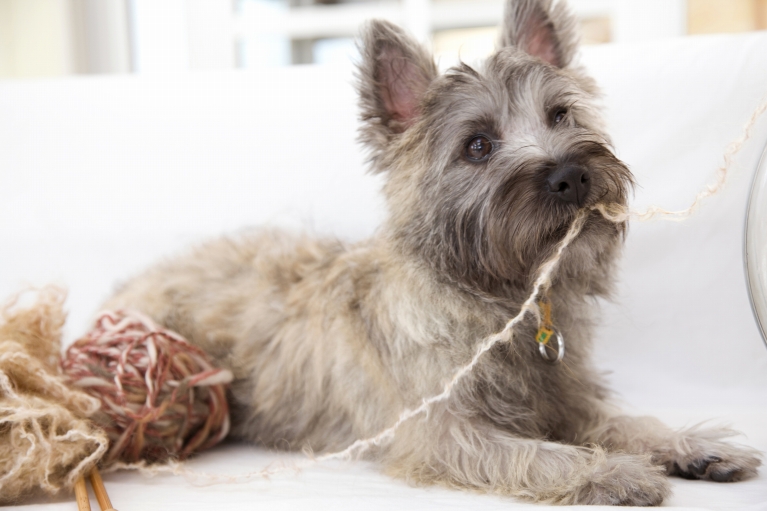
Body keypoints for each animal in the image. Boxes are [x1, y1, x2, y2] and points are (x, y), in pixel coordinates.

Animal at [102, 0, 760, 504]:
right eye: (478, 145)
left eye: (560, 115)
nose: (571, 175)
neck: (505, 299)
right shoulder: (445, 433)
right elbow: (540, 455)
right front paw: (613, 471)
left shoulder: (569, 398)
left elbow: (626, 420)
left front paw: (691, 445)